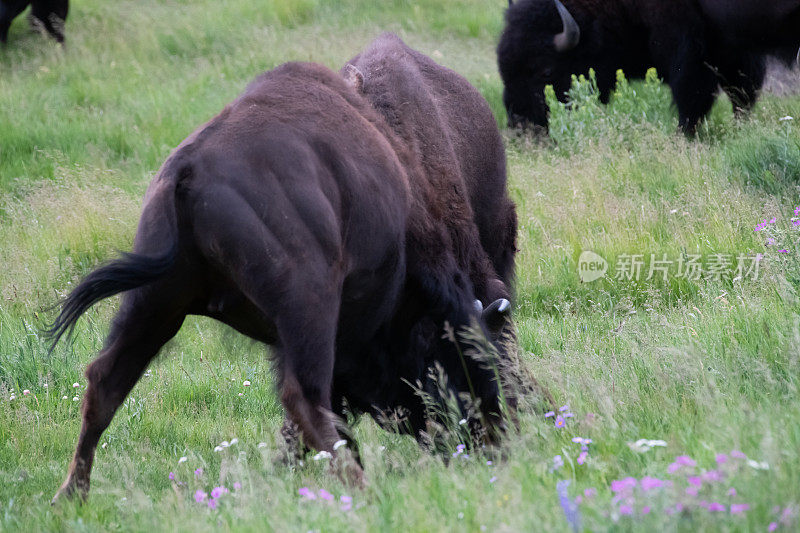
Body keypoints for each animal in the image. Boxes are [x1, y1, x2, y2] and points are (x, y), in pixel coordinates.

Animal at [47, 48, 516, 498]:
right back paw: (363, 489)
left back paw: (71, 494)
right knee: (305, 400)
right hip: (306, 306)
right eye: (464, 358)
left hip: (156, 302)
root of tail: (188, 171)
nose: (489, 442)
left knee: (105, 380)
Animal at [496, 0, 800, 132]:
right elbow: (741, 94)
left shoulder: (687, 47)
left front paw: (684, 137)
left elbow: (692, 98)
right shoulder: (733, 48)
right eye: (504, 69)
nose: (520, 126)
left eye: (545, 70)